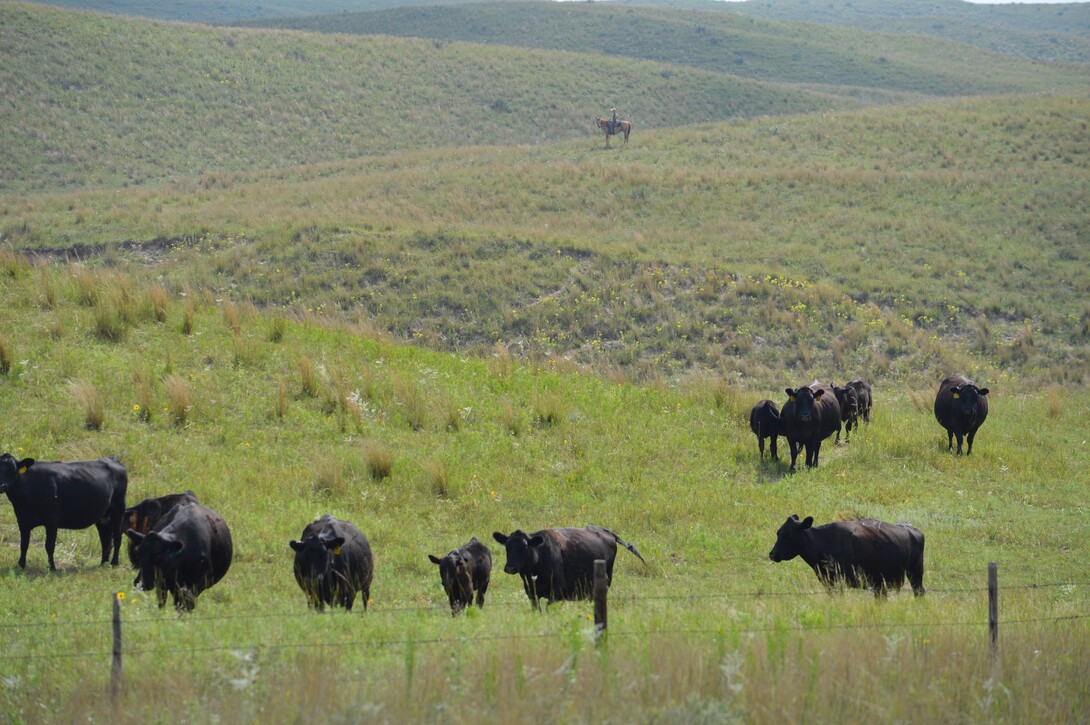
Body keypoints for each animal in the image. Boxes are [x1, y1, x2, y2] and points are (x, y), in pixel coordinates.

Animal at [494, 523, 645, 606]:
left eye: (525, 547)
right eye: (507, 546)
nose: (510, 567)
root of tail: (606, 532)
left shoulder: (557, 591)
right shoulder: (532, 593)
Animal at [767, 512, 928, 597]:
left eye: (788, 536)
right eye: (778, 533)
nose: (772, 554)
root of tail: (912, 529)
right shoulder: (829, 582)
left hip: (915, 572)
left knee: (919, 591)